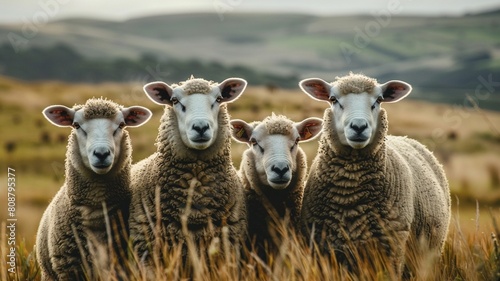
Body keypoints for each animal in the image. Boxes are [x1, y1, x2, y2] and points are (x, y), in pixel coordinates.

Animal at [298, 72, 452, 276]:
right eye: (333, 99)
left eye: (379, 100)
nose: (358, 126)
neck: (350, 195)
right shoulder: (324, 250)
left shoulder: (392, 248)